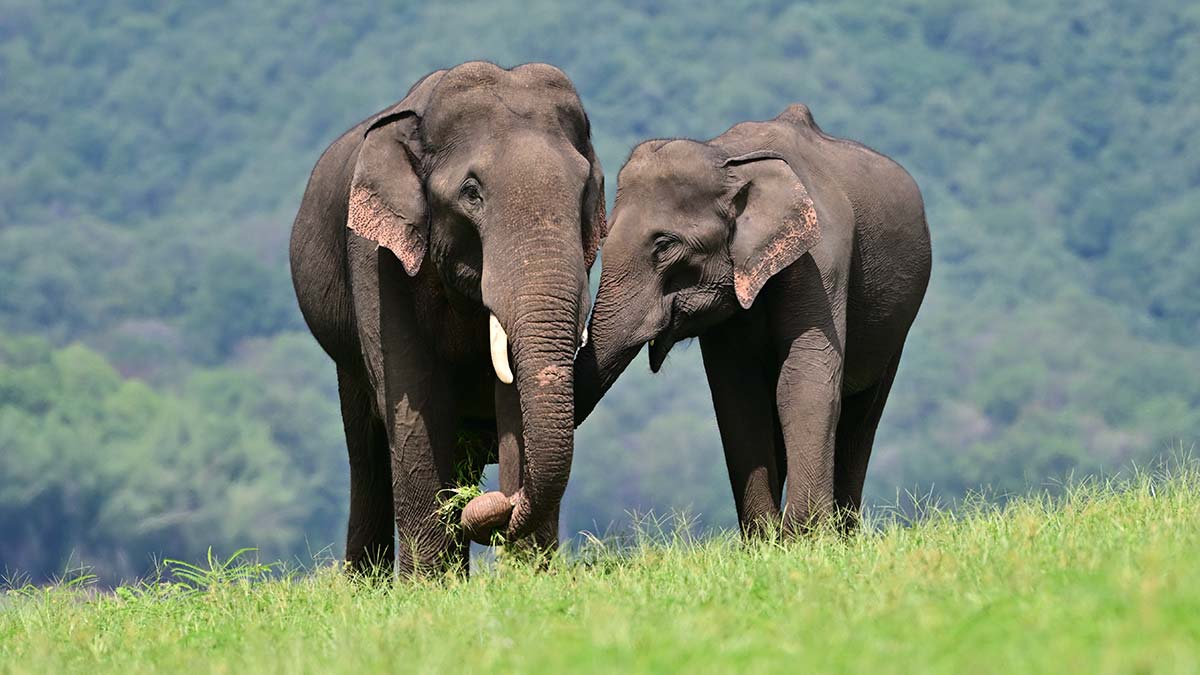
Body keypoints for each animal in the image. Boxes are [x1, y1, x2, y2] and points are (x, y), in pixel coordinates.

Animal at [289, 61, 604, 571]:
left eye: (583, 192)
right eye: (471, 193)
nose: (497, 504)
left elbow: (511, 399)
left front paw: (531, 575)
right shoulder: (377, 257)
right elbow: (415, 400)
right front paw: (427, 584)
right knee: (365, 449)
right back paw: (370, 579)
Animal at [576, 103, 931, 535]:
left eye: (664, 245)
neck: (729, 159)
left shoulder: (821, 256)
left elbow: (802, 379)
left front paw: (804, 537)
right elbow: (738, 394)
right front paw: (766, 540)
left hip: (896, 326)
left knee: (862, 418)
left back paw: (844, 534)